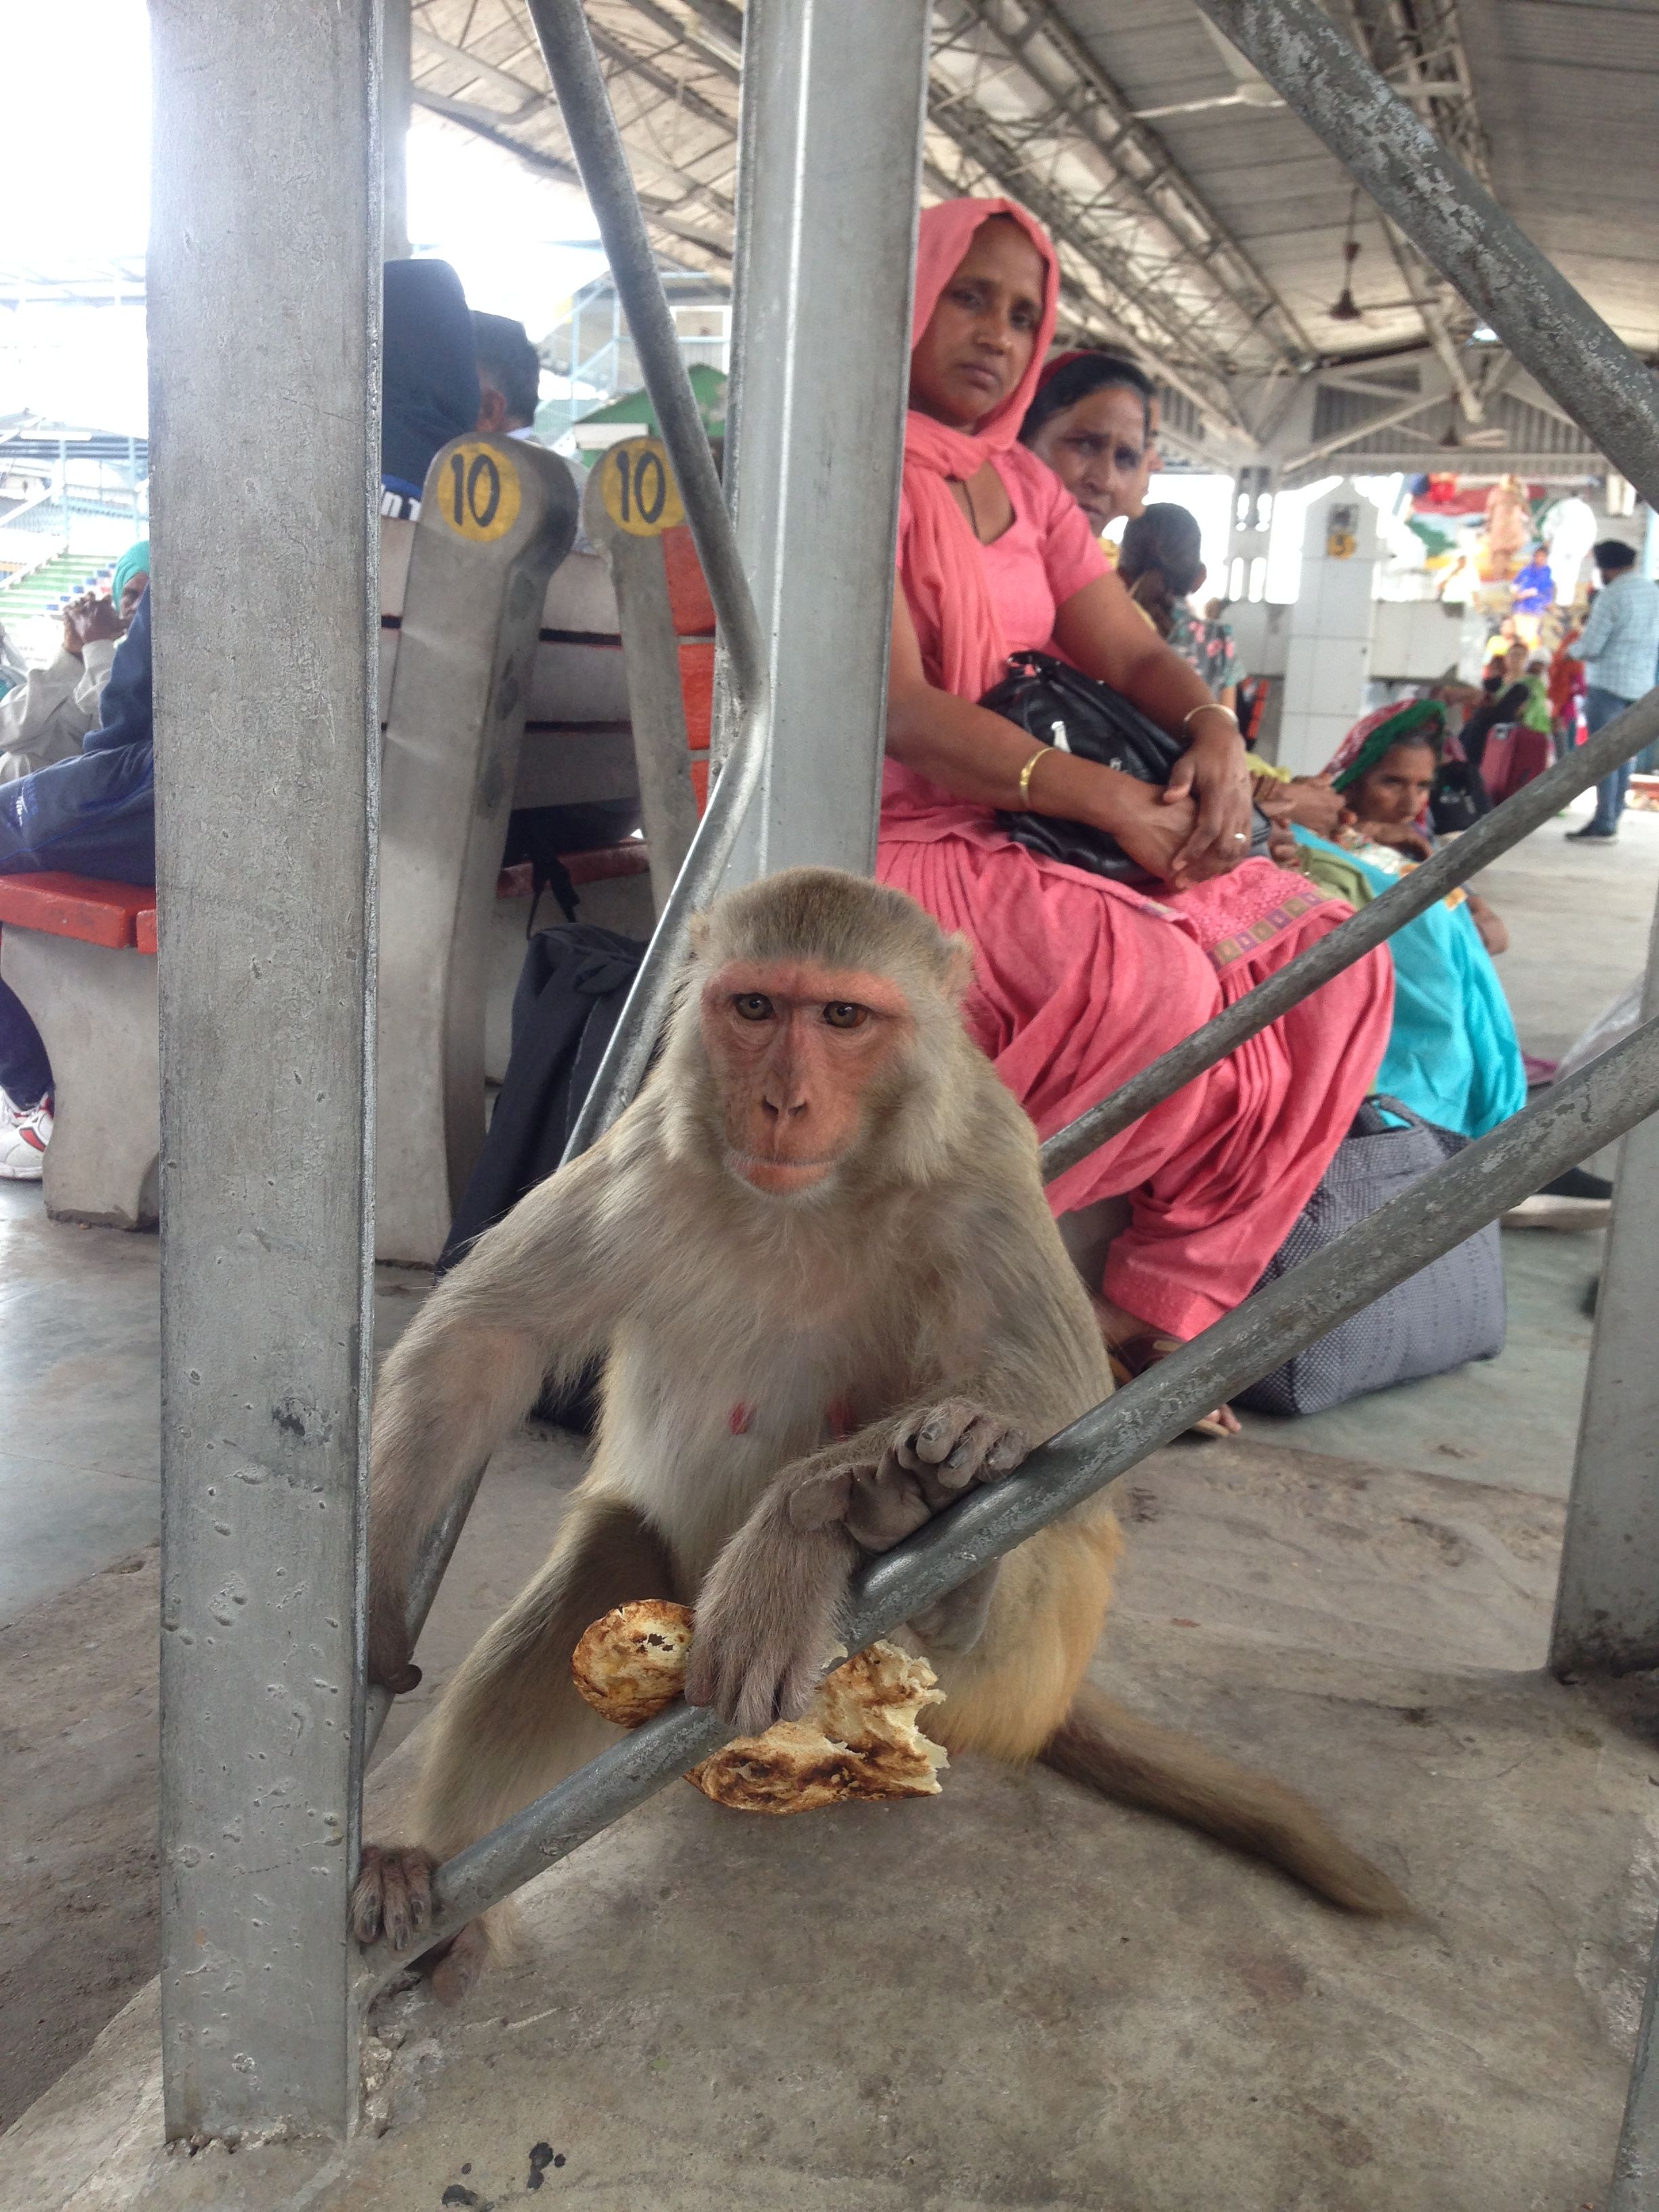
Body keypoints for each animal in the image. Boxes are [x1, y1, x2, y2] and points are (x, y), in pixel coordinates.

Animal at [358, 867, 1406, 2008]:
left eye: (844, 1017)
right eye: (756, 1006)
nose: (782, 1102)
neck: (819, 1194)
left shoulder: (983, 1167)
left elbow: (1072, 1408)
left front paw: (803, 1525)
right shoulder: (648, 1150)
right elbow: (482, 1340)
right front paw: (370, 1594)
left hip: (1011, 1681)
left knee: (1033, 1490)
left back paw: (927, 1540)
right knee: (602, 1567)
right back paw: (439, 1889)